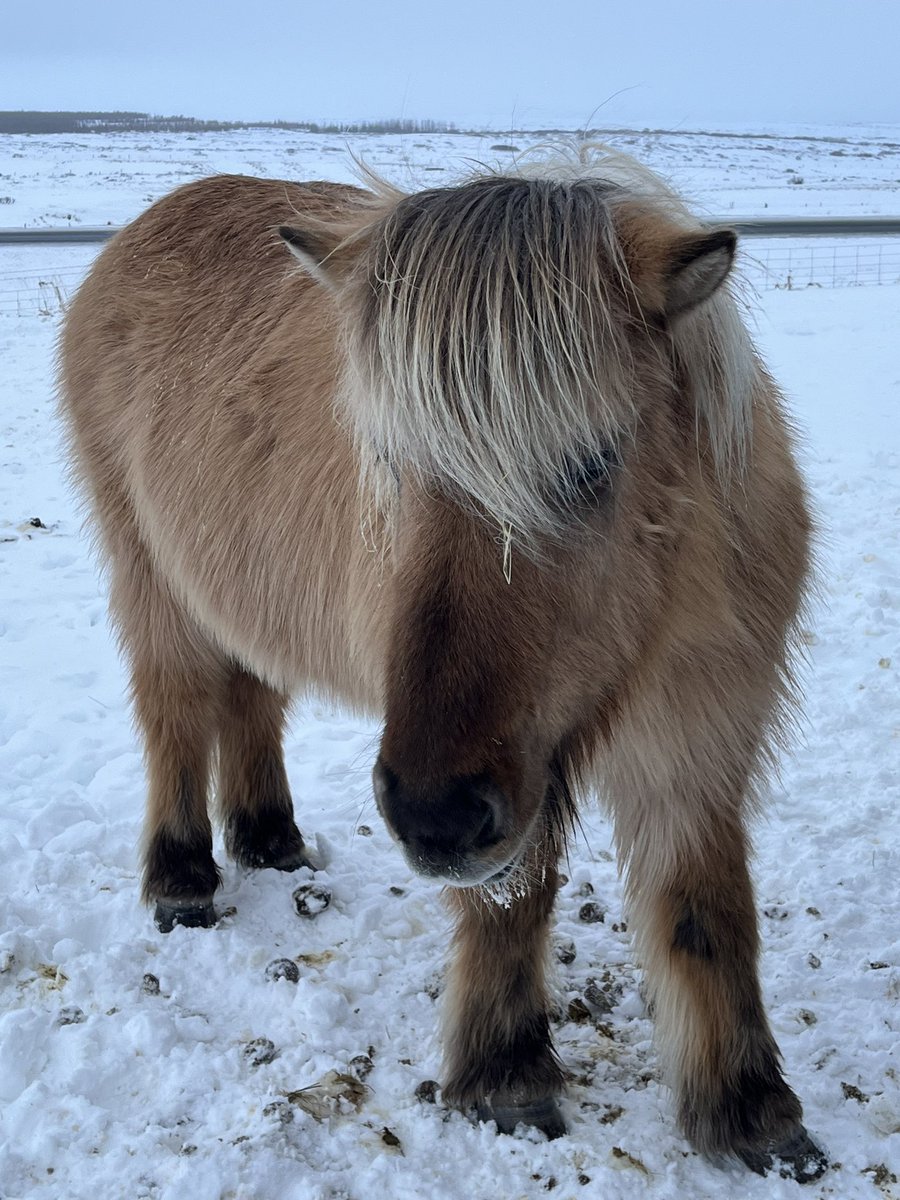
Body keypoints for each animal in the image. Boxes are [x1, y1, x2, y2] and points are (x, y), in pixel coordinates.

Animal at [58, 146, 826, 1180]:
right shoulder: (517, 767)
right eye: (385, 458)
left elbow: (708, 908)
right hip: (154, 582)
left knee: (251, 702)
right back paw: (182, 880)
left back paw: (270, 838)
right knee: (178, 715)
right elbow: (514, 897)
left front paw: (750, 1111)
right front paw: (508, 1078)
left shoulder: (699, 734)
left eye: (594, 464)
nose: (433, 815)